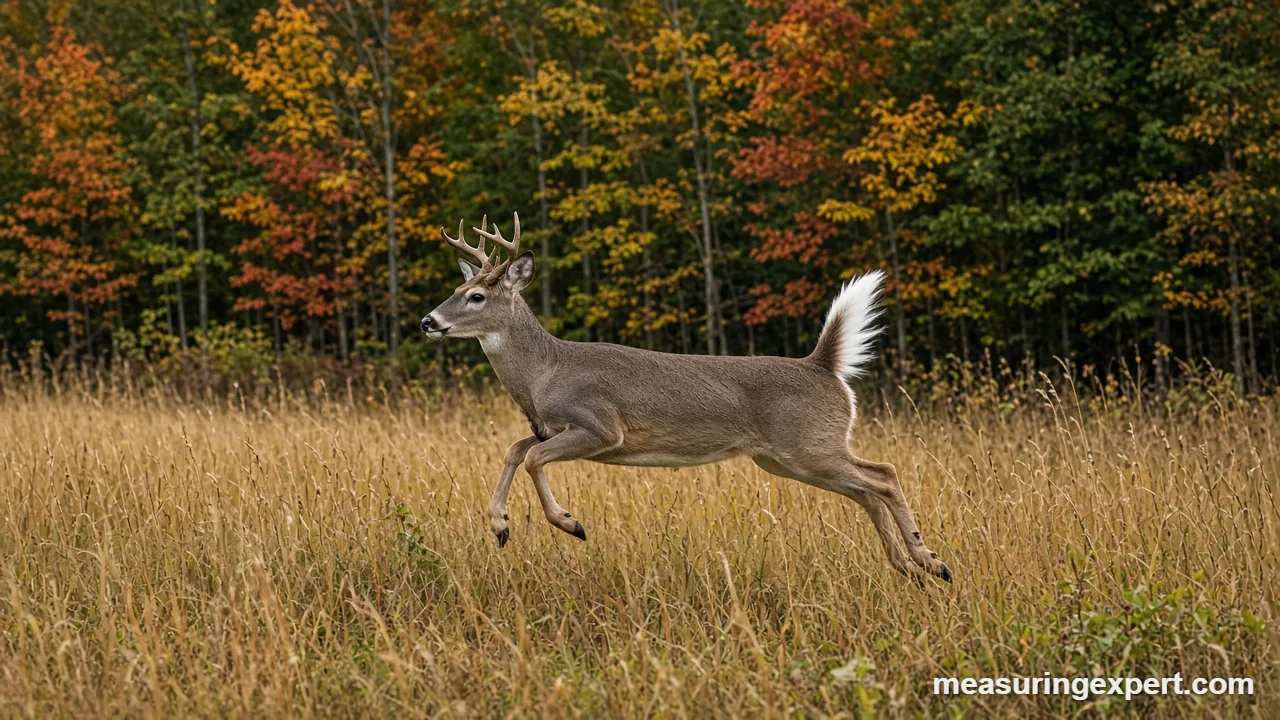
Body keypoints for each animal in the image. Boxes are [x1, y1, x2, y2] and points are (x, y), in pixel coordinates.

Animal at [420, 213, 952, 583]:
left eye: (476, 297)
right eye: (457, 288)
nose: (428, 321)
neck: (543, 374)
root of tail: (822, 365)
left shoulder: (600, 425)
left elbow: (532, 459)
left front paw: (570, 523)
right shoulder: (549, 427)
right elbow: (515, 450)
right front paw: (500, 526)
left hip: (807, 445)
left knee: (883, 475)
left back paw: (930, 559)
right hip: (786, 458)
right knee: (866, 490)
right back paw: (913, 568)